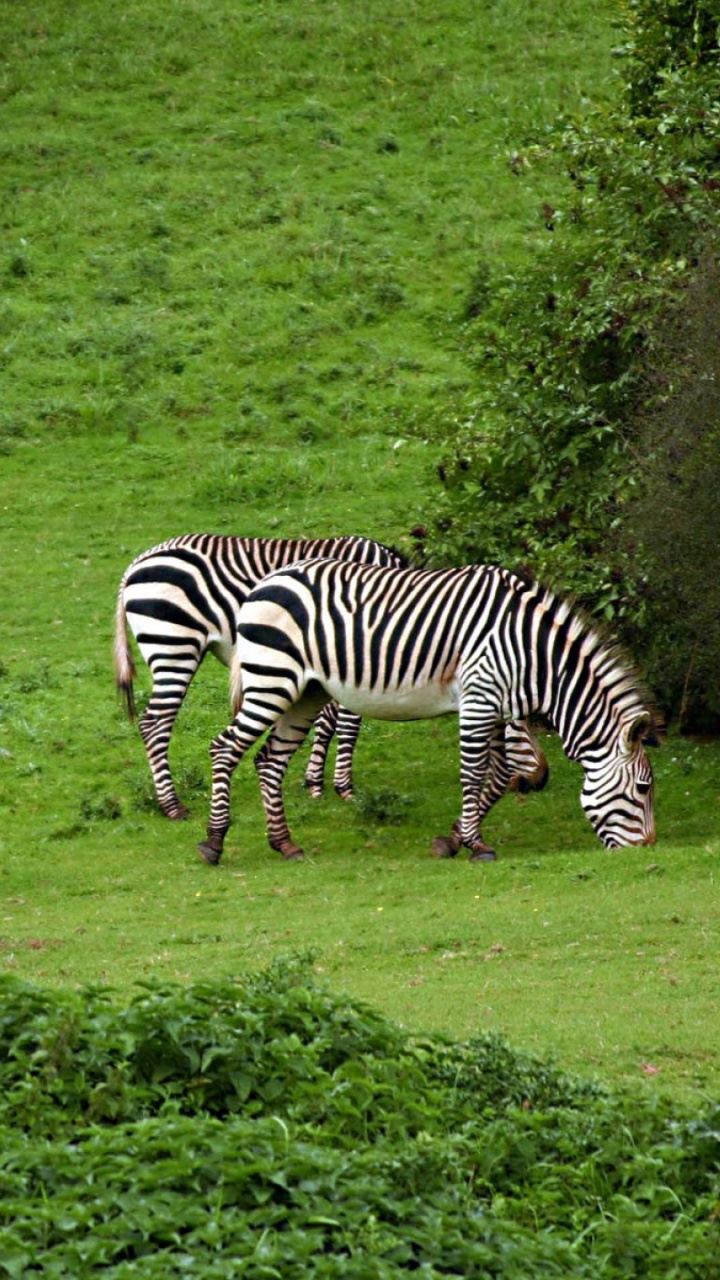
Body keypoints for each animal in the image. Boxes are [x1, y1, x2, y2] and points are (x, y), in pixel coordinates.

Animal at [114, 533, 548, 821]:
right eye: (522, 722)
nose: (540, 781)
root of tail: (136, 563)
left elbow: (328, 721)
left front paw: (315, 780)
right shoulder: (357, 653)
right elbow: (348, 723)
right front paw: (342, 786)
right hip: (175, 644)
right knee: (156, 724)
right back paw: (172, 806)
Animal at [198, 557, 659, 866]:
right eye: (643, 789)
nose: (647, 850)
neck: (533, 652)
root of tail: (267, 580)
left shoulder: (493, 705)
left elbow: (498, 777)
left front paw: (453, 840)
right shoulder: (478, 696)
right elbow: (474, 774)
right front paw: (477, 845)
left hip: (305, 691)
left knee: (269, 760)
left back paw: (285, 844)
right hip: (272, 679)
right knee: (225, 748)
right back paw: (214, 842)